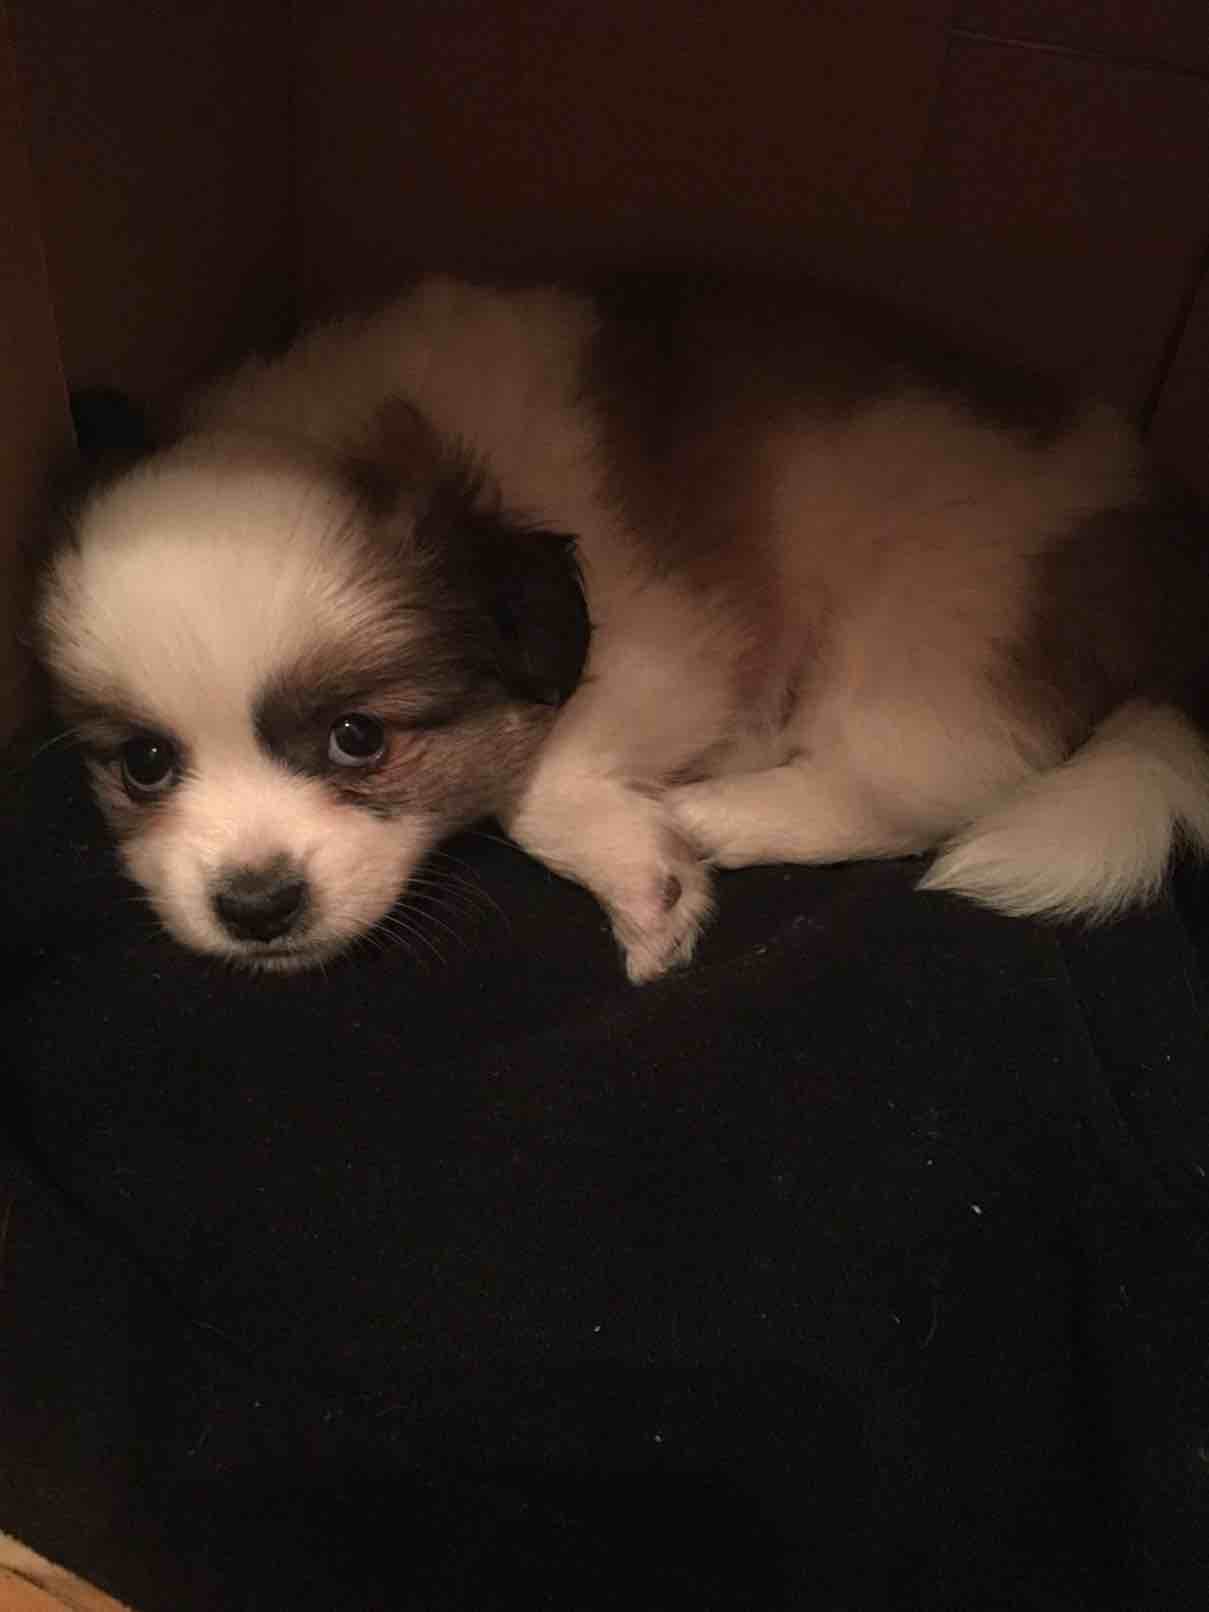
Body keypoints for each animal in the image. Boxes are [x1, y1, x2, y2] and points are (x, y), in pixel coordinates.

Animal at [34, 272, 1209, 981]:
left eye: (357, 739)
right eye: (142, 764)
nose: (256, 906)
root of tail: (1160, 547)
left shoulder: (670, 641)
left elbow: (536, 788)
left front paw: (651, 880)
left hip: (932, 628)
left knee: (937, 786)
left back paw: (718, 814)